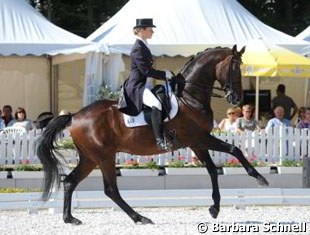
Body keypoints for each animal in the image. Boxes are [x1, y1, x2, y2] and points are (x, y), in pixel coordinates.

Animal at [35, 44, 268, 226]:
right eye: (235, 68)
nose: (237, 99)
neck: (189, 97)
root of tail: (74, 116)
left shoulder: (197, 143)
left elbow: (213, 170)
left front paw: (215, 208)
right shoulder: (199, 138)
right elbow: (234, 149)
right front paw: (260, 178)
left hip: (90, 158)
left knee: (70, 182)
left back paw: (70, 218)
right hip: (104, 157)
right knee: (110, 190)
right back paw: (140, 218)